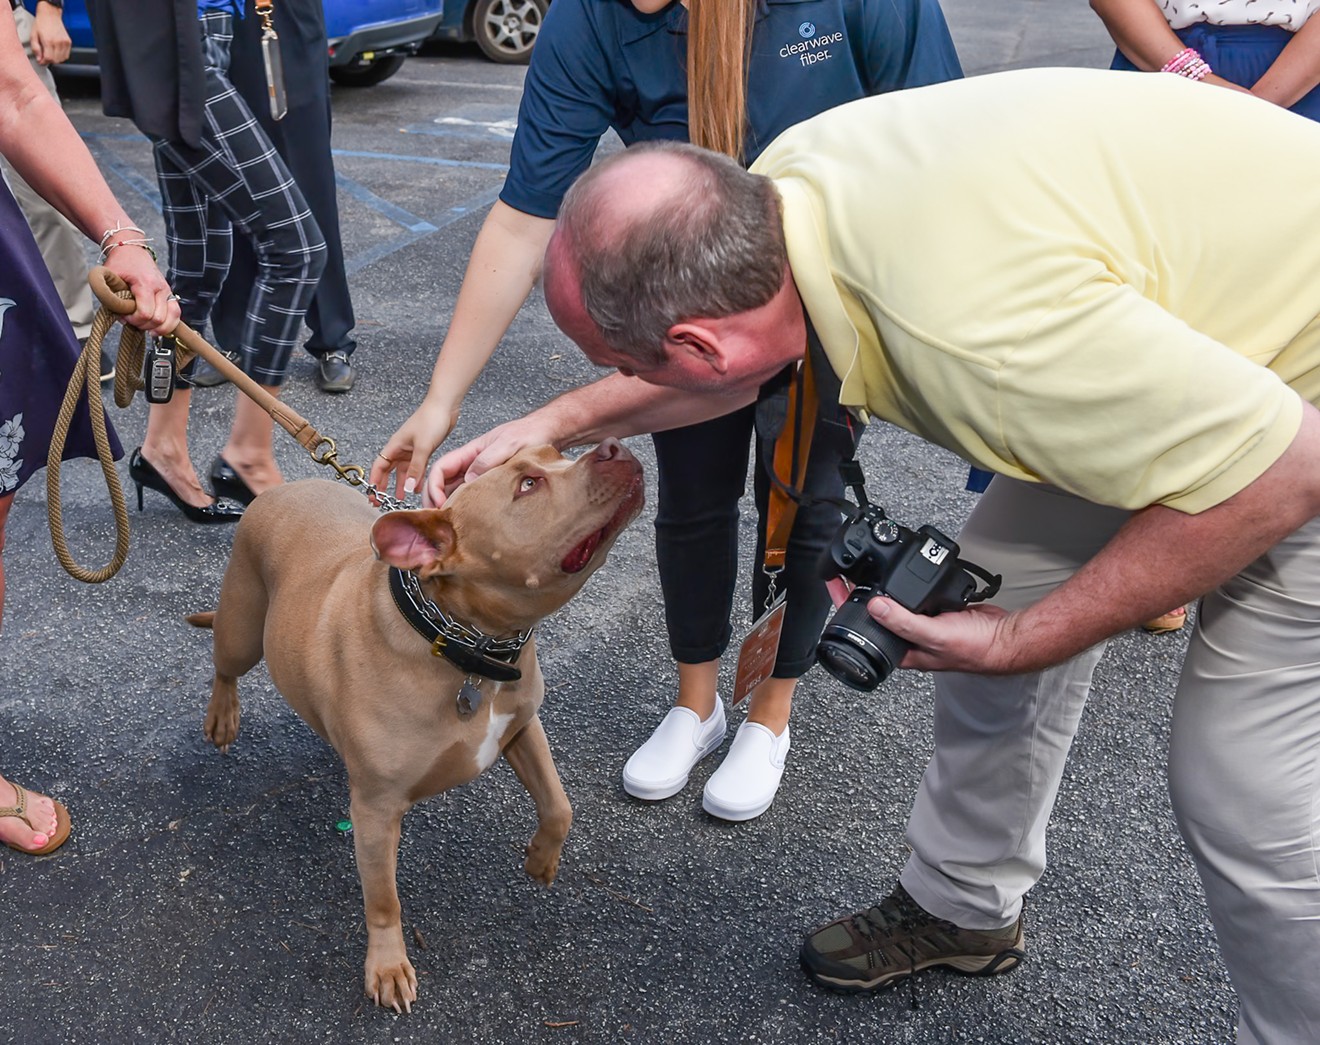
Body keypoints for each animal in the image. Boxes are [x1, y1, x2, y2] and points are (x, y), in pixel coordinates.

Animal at [191, 438, 644, 1013]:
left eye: (555, 451)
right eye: (527, 484)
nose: (614, 445)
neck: (466, 645)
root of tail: (281, 488)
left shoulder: (521, 728)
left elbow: (559, 803)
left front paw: (542, 860)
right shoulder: (376, 812)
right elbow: (384, 898)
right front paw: (387, 966)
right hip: (242, 629)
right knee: (224, 665)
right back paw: (223, 716)